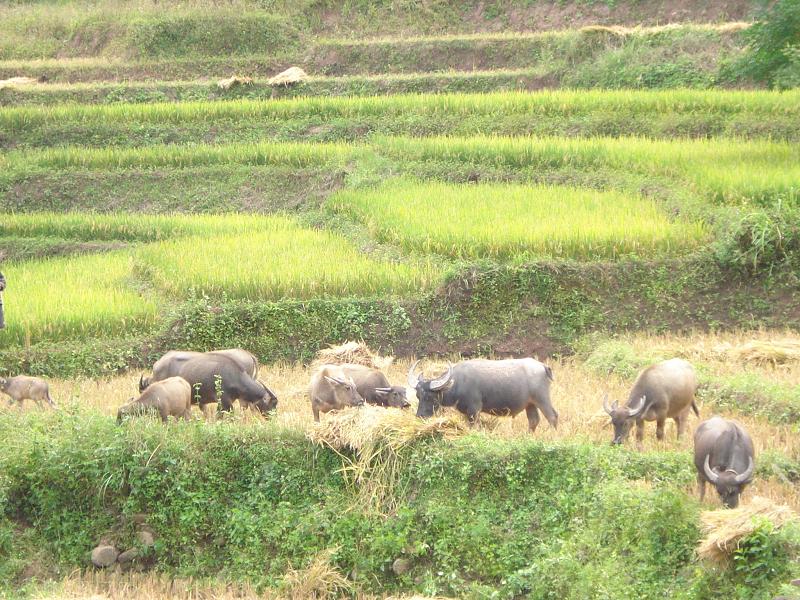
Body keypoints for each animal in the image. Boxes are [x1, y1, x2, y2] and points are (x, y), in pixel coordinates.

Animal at [406, 358, 556, 434]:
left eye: (430, 397)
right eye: (418, 396)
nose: (420, 416)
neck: (458, 382)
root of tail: (543, 366)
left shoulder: (474, 409)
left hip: (542, 399)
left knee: (552, 416)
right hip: (530, 404)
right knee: (534, 420)